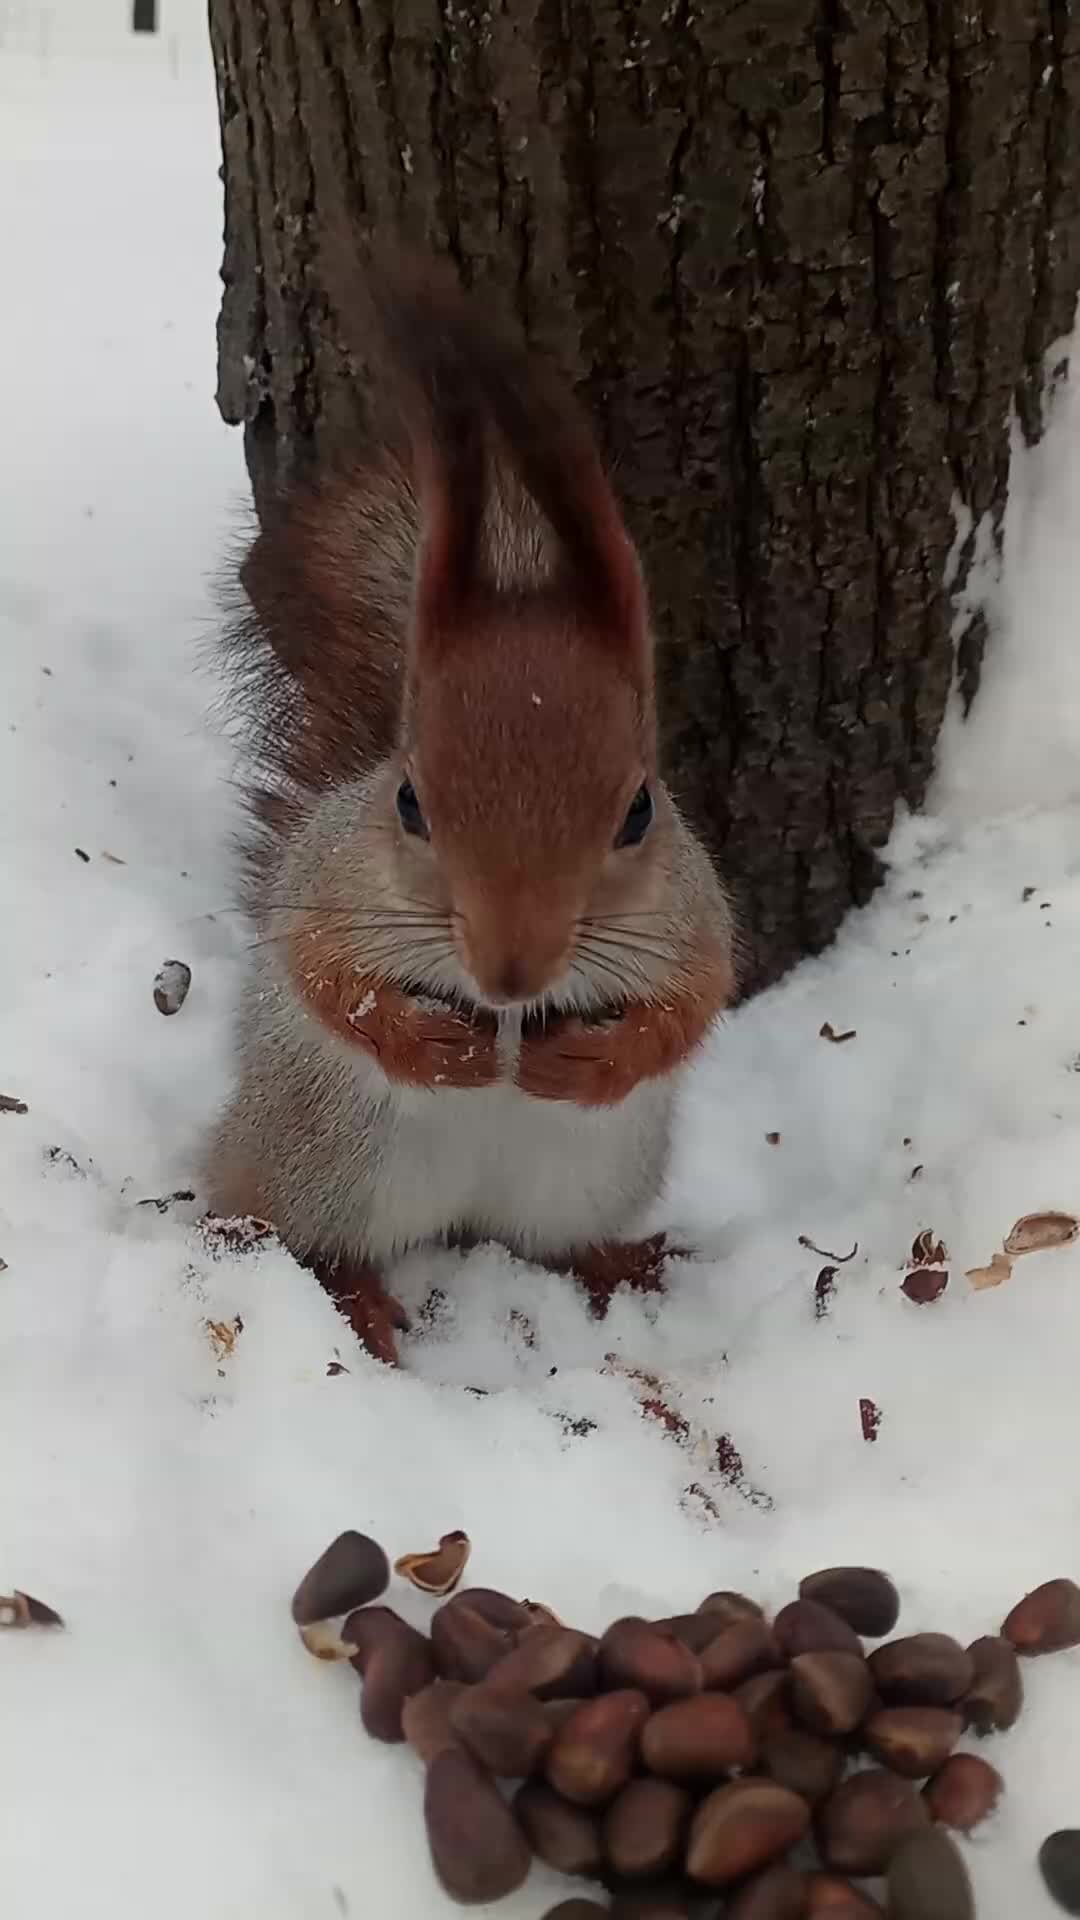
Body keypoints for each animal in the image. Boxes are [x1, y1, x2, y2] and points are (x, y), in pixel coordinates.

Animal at [203, 255, 730, 1367]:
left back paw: (620, 1265)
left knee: (552, 1243)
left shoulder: (694, 908)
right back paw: (354, 1298)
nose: (509, 974)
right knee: (300, 1232)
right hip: (328, 1160)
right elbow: (316, 972)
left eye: (637, 811)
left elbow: (696, 1002)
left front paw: (596, 1057)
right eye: (410, 799)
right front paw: (421, 1042)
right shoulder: (330, 874)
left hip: (585, 1179)